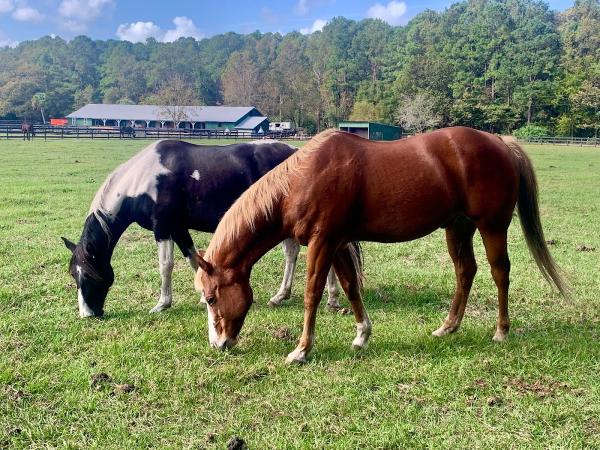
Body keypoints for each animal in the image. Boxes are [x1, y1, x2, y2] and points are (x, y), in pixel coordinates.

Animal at [61, 139, 342, 318]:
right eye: (73, 275)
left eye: (88, 275)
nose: (87, 314)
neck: (144, 180)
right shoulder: (178, 229)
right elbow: (194, 259)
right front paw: (203, 294)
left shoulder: (163, 228)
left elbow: (166, 266)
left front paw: (162, 304)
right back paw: (319, 297)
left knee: (298, 252)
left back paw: (301, 296)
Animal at [196, 125, 568, 362]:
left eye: (212, 298)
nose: (219, 344)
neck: (303, 179)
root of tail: (500, 142)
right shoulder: (338, 243)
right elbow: (350, 286)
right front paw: (362, 335)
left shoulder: (322, 241)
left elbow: (312, 292)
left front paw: (301, 350)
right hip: (458, 228)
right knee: (466, 272)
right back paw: (448, 327)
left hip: (492, 226)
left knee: (499, 272)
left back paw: (501, 331)